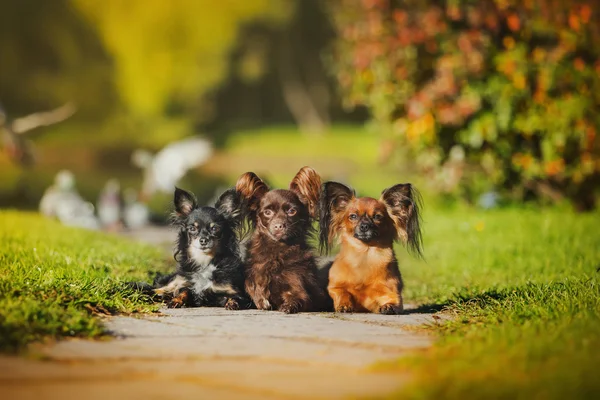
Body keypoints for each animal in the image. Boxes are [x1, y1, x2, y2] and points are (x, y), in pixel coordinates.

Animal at [236, 166, 330, 312]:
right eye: (267, 212)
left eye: (292, 211)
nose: (279, 225)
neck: (278, 248)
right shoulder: (253, 273)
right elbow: (250, 282)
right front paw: (260, 298)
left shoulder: (299, 287)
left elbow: (298, 297)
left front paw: (289, 305)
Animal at [318, 182, 422, 316]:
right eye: (353, 216)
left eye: (377, 216)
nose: (364, 226)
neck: (365, 253)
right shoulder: (335, 287)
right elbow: (342, 293)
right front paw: (344, 305)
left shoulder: (391, 292)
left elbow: (393, 301)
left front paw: (389, 306)